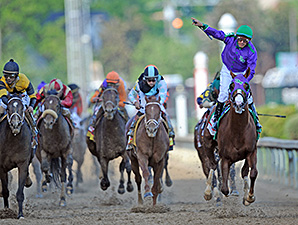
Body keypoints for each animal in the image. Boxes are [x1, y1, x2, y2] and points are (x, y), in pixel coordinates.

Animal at [204, 68, 258, 206]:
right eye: (232, 85)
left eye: (246, 85)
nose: (238, 103)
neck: (238, 131)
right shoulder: (225, 157)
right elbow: (224, 187)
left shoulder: (251, 151)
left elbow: (252, 173)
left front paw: (249, 197)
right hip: (208, 145)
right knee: (212, 166)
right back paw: (208, 192)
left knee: (244, 171)